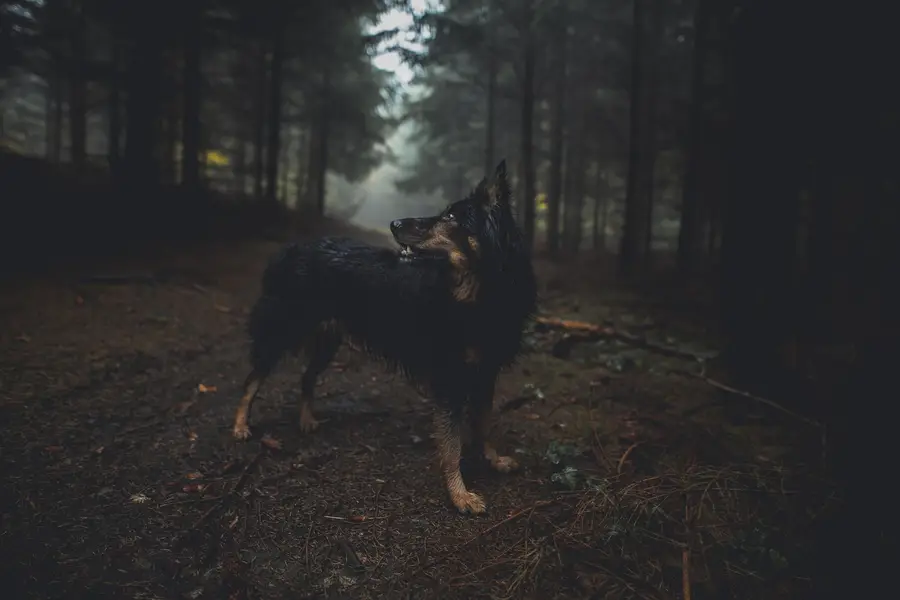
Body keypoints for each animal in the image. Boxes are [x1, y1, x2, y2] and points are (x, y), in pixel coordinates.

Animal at [234, 161, 540, 516]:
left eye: (451, 216)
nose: (393, 223)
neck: (478, 292)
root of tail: (289, 248)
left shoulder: (485, 372)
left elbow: (483, 425)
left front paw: (493, 459)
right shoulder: (449, 377)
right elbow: (451, 446)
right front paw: (459, 494)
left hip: (328, 341)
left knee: (306, 377)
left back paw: (306, 419)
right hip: (283, 330)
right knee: (253, 379)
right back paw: (240, 425)